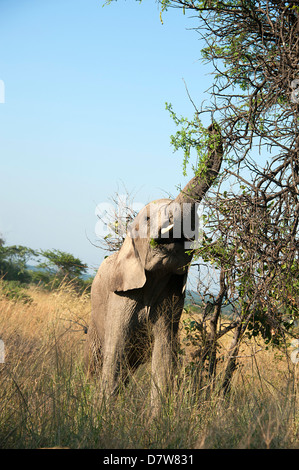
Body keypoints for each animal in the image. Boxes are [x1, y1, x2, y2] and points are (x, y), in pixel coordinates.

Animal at [84, 124, 223, 408]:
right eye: (148, 219)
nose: (212, 127)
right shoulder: (120, 297)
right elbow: (115, 352)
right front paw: (101, 414)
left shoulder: (171, 298)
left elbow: (165, 355)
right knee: (97, 361)